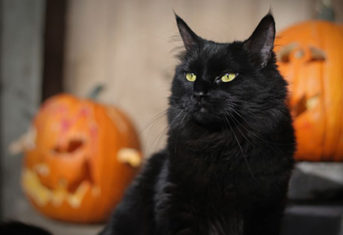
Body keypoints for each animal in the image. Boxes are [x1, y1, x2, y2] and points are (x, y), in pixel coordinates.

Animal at [101, 13, 296, 235]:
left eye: (227, 76)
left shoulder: (267, 208)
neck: (221, 146)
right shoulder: (177, 204)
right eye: (190, 75)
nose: (199, 93)